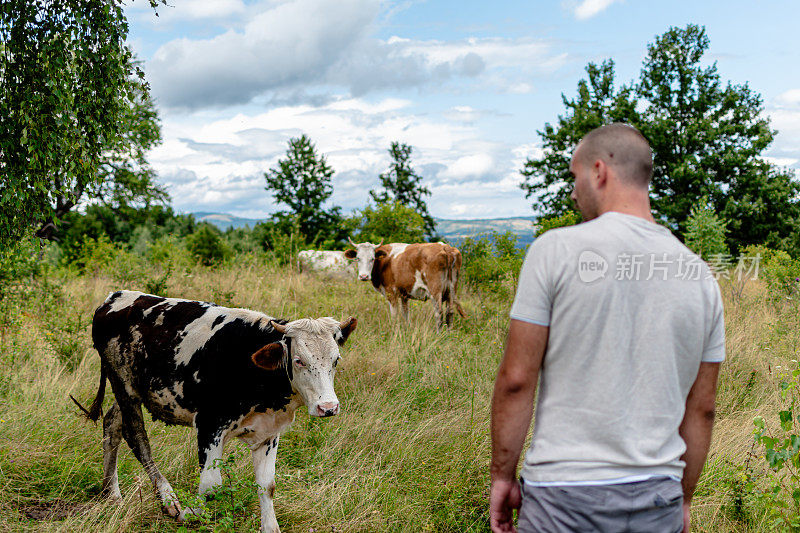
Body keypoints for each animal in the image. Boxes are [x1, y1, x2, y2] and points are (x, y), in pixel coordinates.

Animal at [73, 290, 358, 532]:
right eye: (299, 361)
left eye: (336, 360)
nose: (328, 407)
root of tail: (115, 298)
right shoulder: (210, 425)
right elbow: (211, 486)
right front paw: (190, 515)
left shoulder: (268, 432)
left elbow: (267, 485)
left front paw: (270, 527)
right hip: (123, 386)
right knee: (137, 437)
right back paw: (168, 499)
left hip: (130, 391)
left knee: (112, 424)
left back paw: (112, 493)